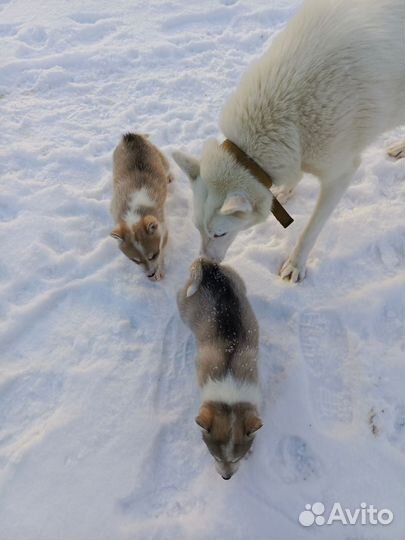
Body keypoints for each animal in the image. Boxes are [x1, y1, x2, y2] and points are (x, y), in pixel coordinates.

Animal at [109, 133, 170, 280]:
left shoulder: (163, 229)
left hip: (163, 160)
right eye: (135, 260)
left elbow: (163, 251)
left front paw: (160, 270)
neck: (134, 213)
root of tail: (131, 135)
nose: (150, 274)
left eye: (154, 255)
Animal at [174, 0, 404, 284]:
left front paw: (296, 263)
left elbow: (311, 230)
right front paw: (284, 191)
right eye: (197, 228)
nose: (204, 263)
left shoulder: (340, 173)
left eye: (220, 234)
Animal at [178, 258, 262, 480]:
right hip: (184, 302)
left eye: (236, 458)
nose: (226, 477)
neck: (230, 397)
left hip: (237, 280)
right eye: (214, 456)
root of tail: (207, 265)